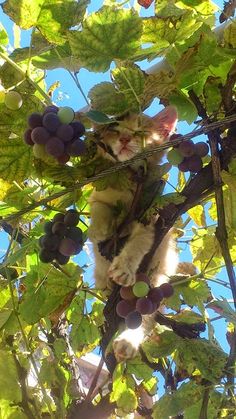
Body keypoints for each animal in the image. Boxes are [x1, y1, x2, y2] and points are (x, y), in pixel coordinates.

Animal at [88, 106, 179, 362]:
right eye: (114, 128)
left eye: (141, 131)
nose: (126, 138)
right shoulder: (99, 196)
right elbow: (99, 210)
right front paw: (100, 230)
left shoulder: (150, 218)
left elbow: (139, 242)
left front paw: (124, 267)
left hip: (156, 276)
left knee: (144, 317)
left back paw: (127, 341)